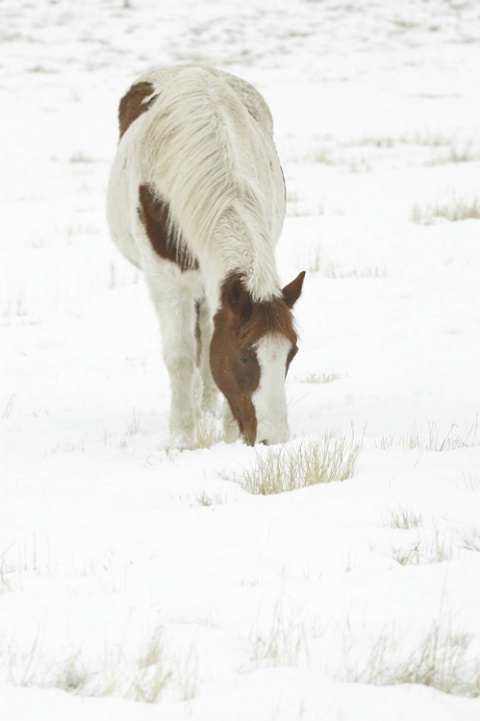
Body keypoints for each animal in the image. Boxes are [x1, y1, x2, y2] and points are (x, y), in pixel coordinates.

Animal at [107, 67, 306, 450]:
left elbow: (210, 346)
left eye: (291, 353)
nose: (274, 440)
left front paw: (228, 435)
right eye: (244, 355)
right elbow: (182, 355)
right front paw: (181, 438)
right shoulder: (167, 281)